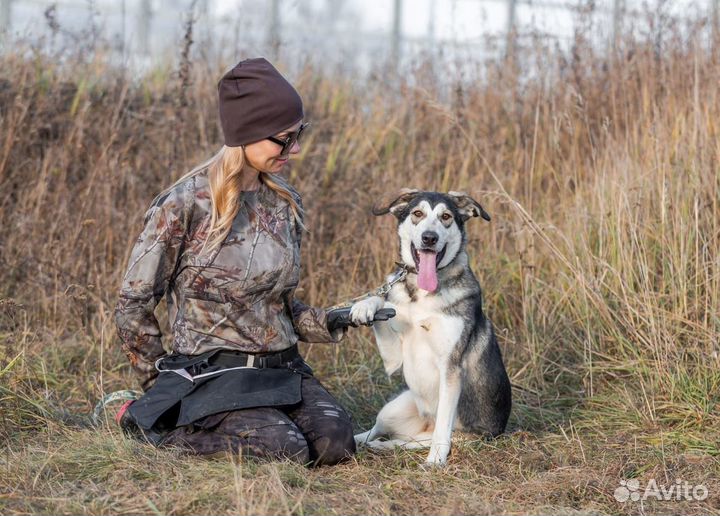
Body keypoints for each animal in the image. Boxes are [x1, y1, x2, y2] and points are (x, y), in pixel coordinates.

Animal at [350, 189, 512, 468]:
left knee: (420, 439)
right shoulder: (393, 358)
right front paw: (366, 306)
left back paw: (388, 446)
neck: (422, 295)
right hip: (393, 408)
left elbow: (442, 428)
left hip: (464, 437)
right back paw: (360, 441)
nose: (429, 237)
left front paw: (436, 460)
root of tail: (424, 422)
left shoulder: (451, 369)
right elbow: (382, 303)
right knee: (377, 430)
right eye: (418, 213)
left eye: (446, 217)